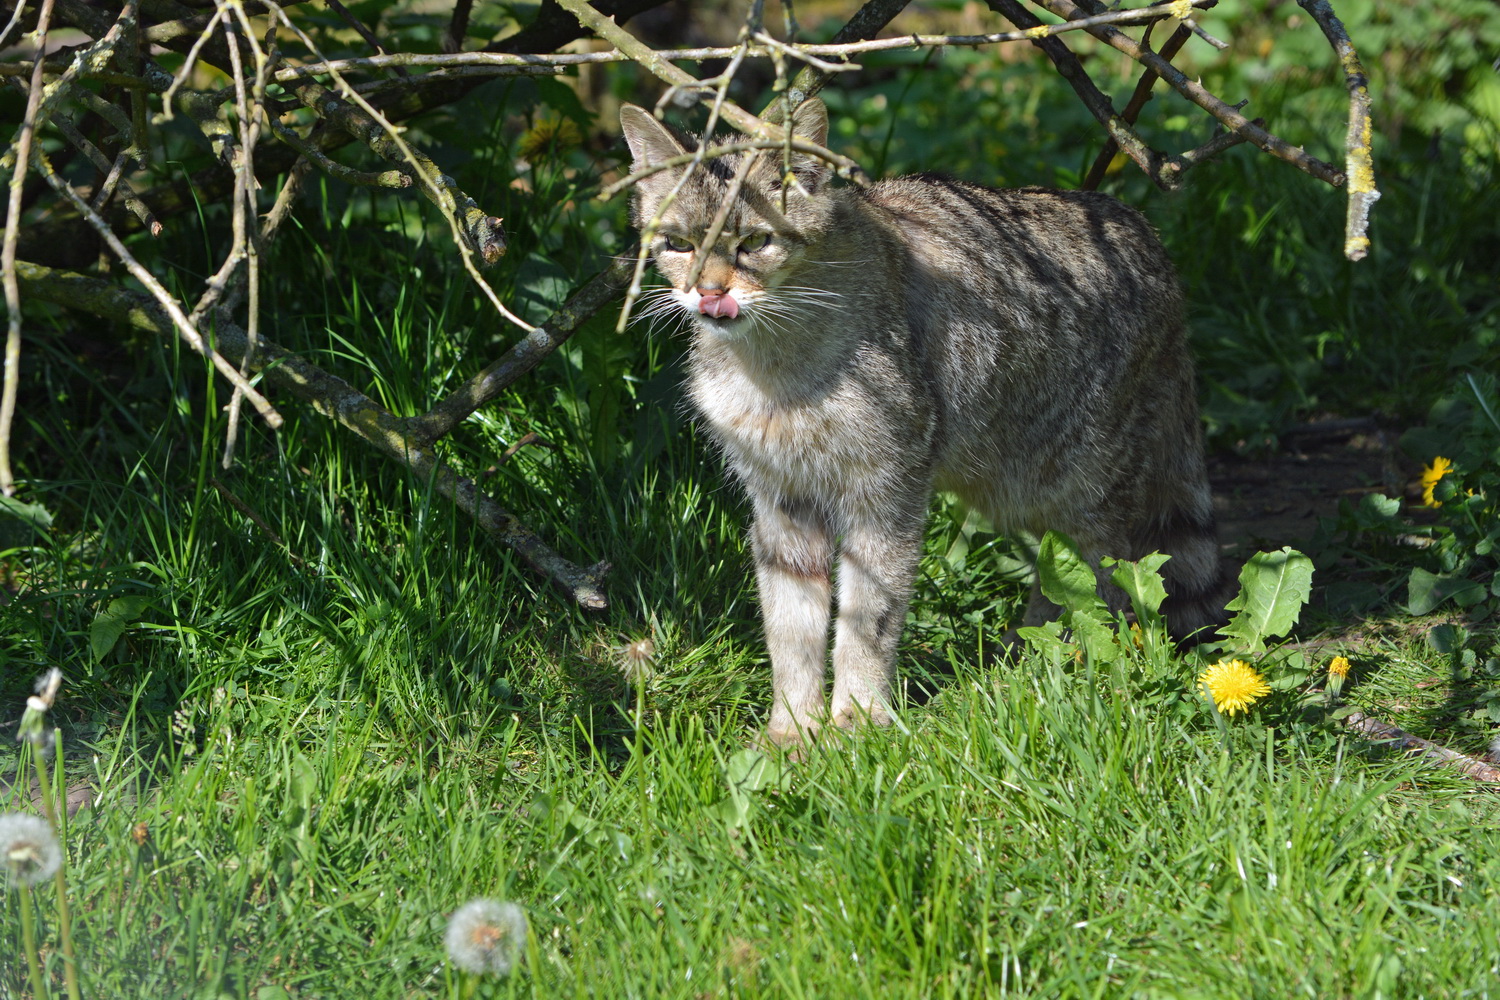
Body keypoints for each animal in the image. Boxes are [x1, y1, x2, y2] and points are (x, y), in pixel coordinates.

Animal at [615, 99, 1224, 749]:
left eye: (755, 240)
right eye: (677, 243)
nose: (708, 294)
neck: (771, 365)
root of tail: (1147, 233)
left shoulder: (886, 494)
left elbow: (867, 620)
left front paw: (856, 723)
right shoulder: (782, 500)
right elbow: (791, 628)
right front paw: (793, 731)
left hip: (1080, 487)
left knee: (1109, 586)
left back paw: (1067, 665)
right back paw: (1023, 657)